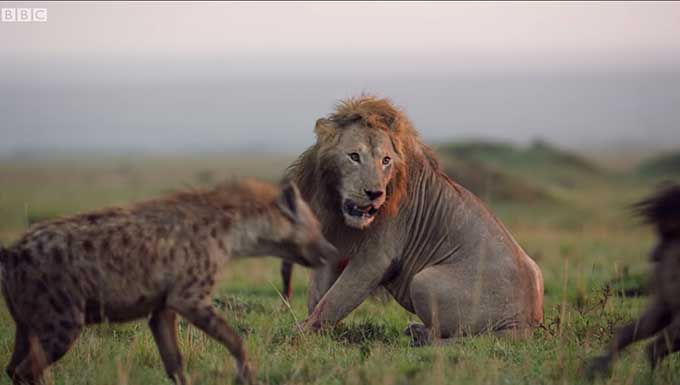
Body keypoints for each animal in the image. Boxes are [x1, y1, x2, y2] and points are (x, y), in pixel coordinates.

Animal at [284, 94, 544, 344]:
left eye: (386, 160)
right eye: (354, 156)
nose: (375, 193)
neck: (338, 207)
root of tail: (526, 324)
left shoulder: (375, 258)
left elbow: (335, 299)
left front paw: (300, 333)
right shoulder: (335, 244)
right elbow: (318, 296)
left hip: (423, 281)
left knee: (460, 338)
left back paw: (419, 335)